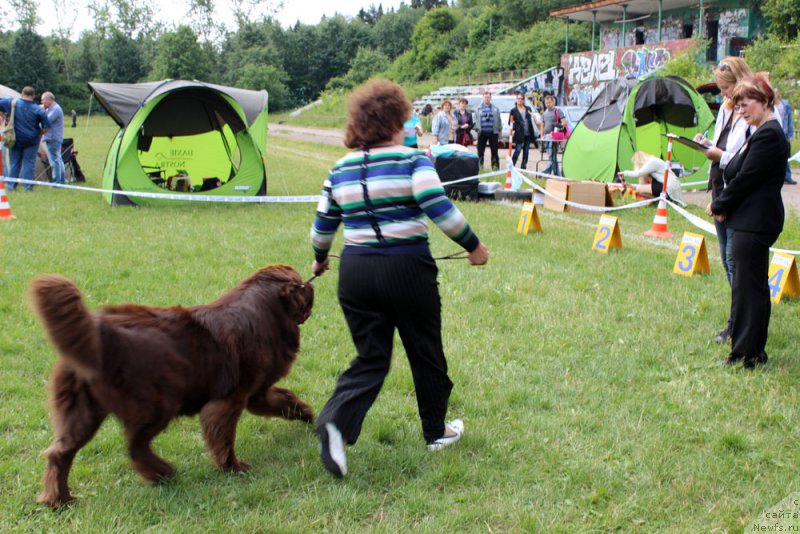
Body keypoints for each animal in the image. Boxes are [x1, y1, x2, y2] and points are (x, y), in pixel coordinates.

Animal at [28, 266, 316, 508]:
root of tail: (99, 333)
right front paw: (233, 467)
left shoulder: (257, 394)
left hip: (81, 411)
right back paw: (163, 473)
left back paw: (59, 500)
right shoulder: (229, 400)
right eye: (302, 284)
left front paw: (310, 417)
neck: (264, 309)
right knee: (135, 445)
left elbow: (287, 401)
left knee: (59, 453)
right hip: (159, 402)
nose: (313, 286)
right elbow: (223, 438)